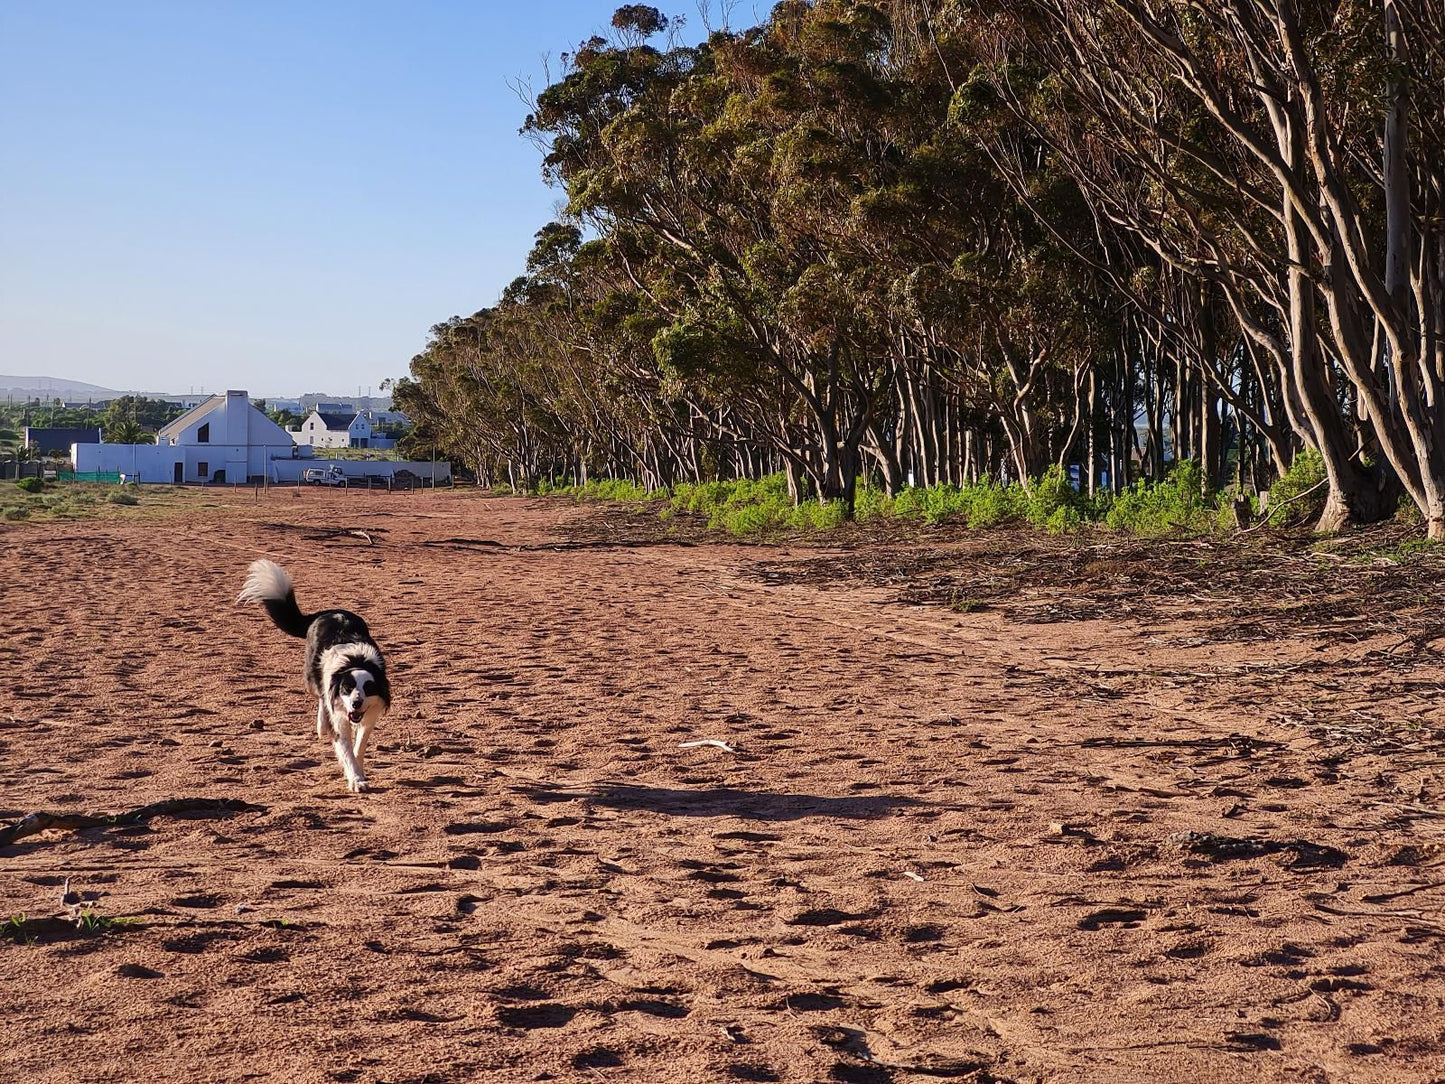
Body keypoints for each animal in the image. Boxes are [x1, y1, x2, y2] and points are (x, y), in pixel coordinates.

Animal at [239, 563, 393, 792]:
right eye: (347, 688)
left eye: (369, 688)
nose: (356, 703)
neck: (356, 661)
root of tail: (326, 612)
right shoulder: (339, 714)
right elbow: (346, 749)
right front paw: (356, 779)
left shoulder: (369, 715)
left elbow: (359, 746)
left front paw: (359, 772)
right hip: (312, 677)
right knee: (321, 696)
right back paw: (322, 725)